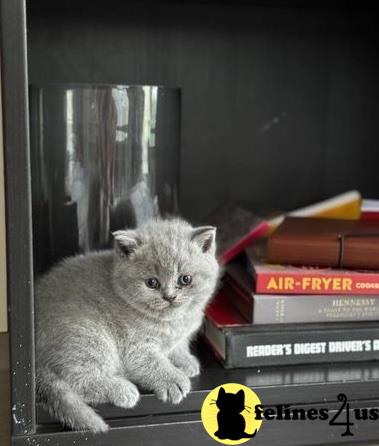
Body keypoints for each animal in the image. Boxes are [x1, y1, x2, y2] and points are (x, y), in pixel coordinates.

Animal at [36, 217, 220, 432]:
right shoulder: (135, 347)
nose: (169, 297)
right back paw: (122, 389)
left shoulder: (177, 337)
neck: (172, 322)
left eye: (185, 279)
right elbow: (152, 363)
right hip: (89, 336)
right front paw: (173, 380)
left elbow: (177, 347)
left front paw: (186, 361)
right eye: (152, 283)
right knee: (76, 380)